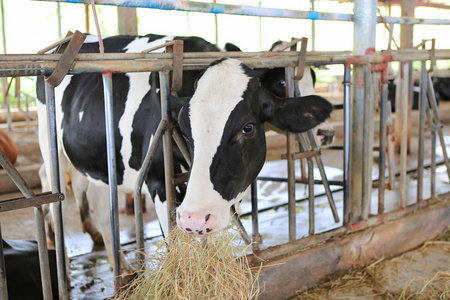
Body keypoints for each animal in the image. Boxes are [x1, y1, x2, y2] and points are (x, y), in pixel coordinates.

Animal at [36, 34, 330, 274]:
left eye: (248, 128)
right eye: (184, 128)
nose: (326, 134)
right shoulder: (159, 182)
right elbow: (176, 242)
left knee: (100, 205)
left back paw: (120, 265)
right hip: (49, 141)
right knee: (50, 184)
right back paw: (56, 247)